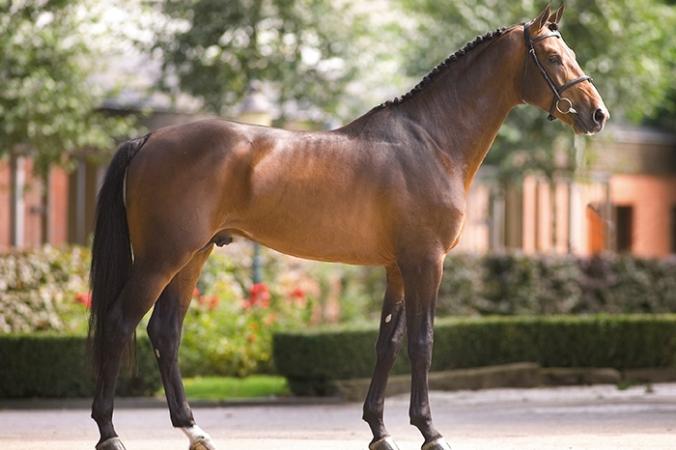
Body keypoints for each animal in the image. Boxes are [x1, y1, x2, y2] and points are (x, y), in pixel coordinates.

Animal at [89, 5, 608, 450]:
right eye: (553, 56)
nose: (597, 114)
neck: (430, 141)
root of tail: (148, 138)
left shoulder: (398, 267)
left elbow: (388, 344)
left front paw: (380, 430)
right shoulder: (427, 263)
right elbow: (422, 342)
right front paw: (430, 431)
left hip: (192, 257)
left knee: (165, 333)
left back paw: (196, 431)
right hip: (161, 259)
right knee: (118, 323)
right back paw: (109, 432)